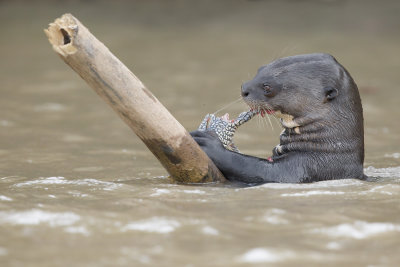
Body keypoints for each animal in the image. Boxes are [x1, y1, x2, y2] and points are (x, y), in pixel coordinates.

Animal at [191, 53, 366, 185]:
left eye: (267, 87)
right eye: (260, 69)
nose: (244, 89)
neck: (324, 147)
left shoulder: (308, 167)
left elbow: (252, 167)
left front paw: (208, 143)